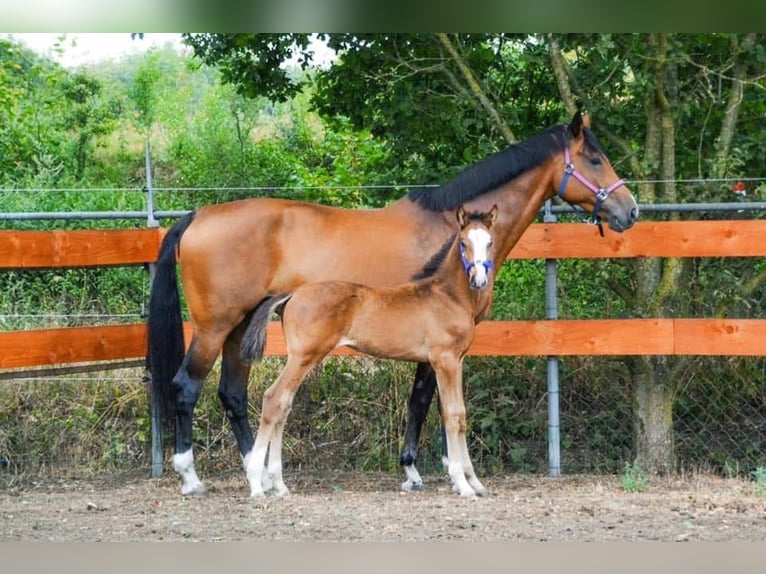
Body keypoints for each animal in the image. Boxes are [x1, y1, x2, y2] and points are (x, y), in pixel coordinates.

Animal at [241, 204, 499, 497]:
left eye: (489, 242)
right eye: (464, 243)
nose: (479, 280)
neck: (449, 296)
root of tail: (292, 294)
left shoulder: (457, 361)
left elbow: (461, 414)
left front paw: (474, 481)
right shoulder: (444, 360)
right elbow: (453, 415)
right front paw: (463, 484)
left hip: (299, 359)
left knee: (283, 405)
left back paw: (280, 484)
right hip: (303, 357)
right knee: (274, 399)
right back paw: (257, 483)